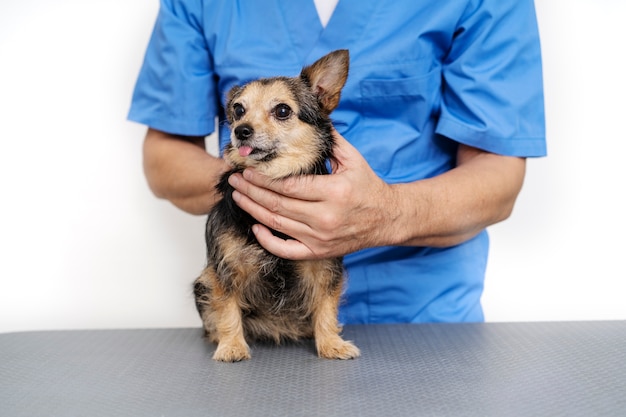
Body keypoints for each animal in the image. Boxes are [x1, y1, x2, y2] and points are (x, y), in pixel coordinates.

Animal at [195, 48, 360, 360]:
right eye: (238, 110)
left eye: (282, 110)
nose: (241, 130)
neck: (273, 174)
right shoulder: (225, 268)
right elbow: (227, 307)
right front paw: (231, 345)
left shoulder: (324, 265)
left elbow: (326, 306)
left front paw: (331, 343)